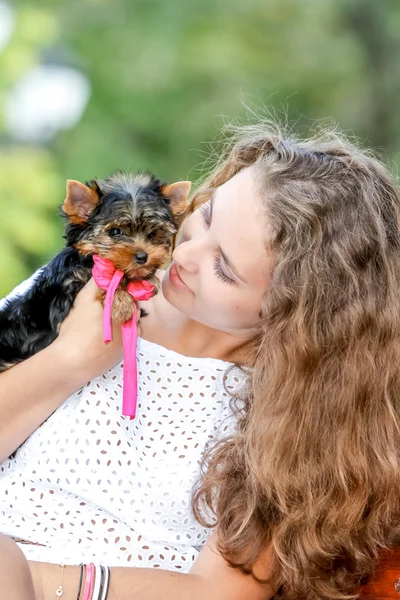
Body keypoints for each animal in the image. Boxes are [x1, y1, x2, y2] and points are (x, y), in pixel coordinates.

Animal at [0, 171, 191, 372]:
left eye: (153, 234)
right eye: (115, 232)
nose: (142, 256)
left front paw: (147, 278)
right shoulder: (68, 286)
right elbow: (105, 281)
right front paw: (122, 301)